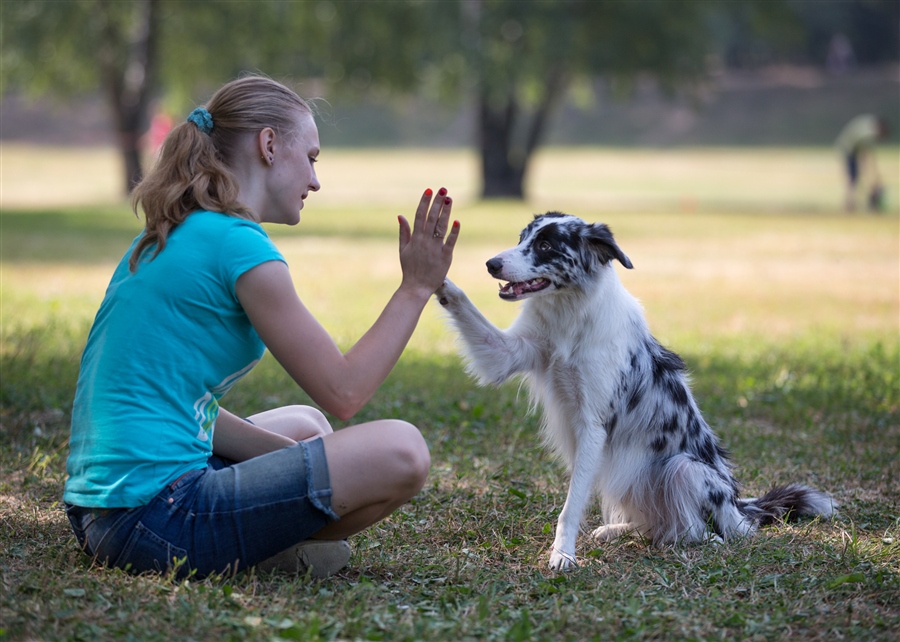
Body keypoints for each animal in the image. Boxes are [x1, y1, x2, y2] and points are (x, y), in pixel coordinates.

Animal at [436, 212, 836, 568]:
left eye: (546, 245)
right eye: (522, 238)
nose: (491, 264)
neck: (571, 313)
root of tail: (740, 509)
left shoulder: (593, 428)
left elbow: (571, 505)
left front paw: (563, 554)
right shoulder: (505, 355)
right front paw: (437, 273)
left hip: (684, 469)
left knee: (696, 530)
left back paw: (701, 537)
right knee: (656, 524)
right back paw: (616, 530)